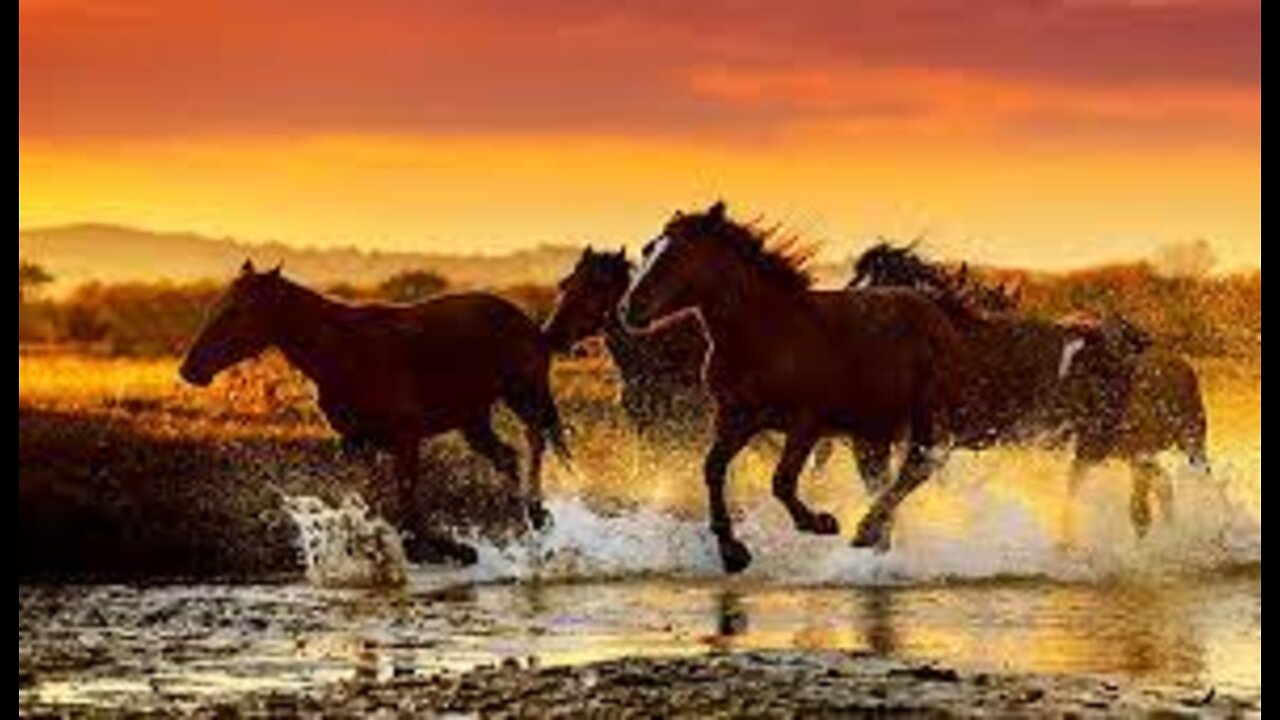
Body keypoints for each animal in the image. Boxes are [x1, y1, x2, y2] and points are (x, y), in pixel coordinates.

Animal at [177, 260, 568, 563]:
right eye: (216, 307)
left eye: (235, 312)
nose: (190, 369)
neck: (343, 353)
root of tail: (532, 325)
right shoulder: (358, 442)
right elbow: (376, 512)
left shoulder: (405, 437)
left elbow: (408, 515)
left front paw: (458, 550)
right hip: (472, 419)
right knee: (508, 457)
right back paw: (528, 521)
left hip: (524, 395)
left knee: (535, 443)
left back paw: (538, 514)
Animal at [616, 198, 962, 568]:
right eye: (649, 248)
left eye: (678, 254)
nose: (628, 309)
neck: (765, 336)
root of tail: (935, 313)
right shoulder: (737, 418)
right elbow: (713, 468)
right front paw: (732, 551)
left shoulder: (806, 422)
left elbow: (781, 481)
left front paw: (820, 522)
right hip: (871, 432)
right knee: (882, 480)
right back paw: (876, 541)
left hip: (925, 413)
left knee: (917, 467)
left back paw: (865, 531)